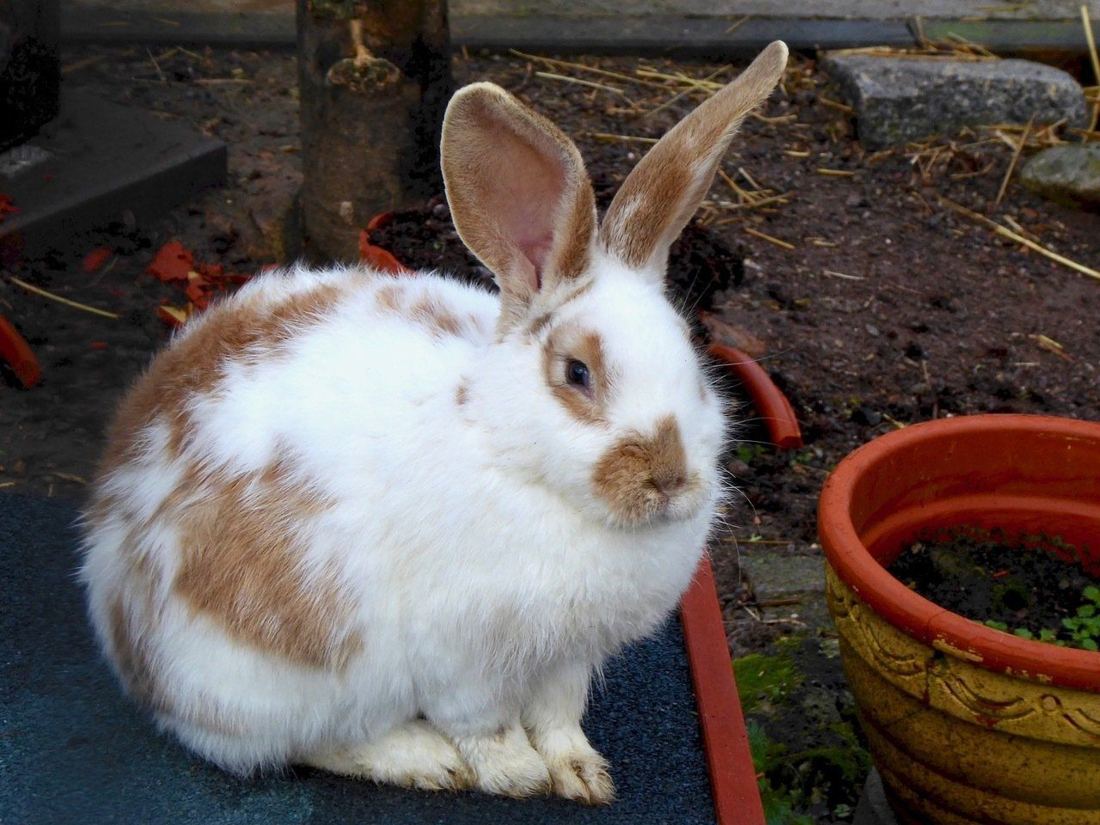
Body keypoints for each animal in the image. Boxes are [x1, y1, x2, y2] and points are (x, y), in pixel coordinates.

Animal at [80, 41, 788, 804]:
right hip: (272, 681)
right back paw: (420, 758)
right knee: (301, 743)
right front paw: (515, 775)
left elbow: (559, 715)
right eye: (577, 373)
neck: (505, 450)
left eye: (693, 357)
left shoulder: (567, 659)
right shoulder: (461, 657)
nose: (670, 477)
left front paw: (581, 774)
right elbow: (486, 724)